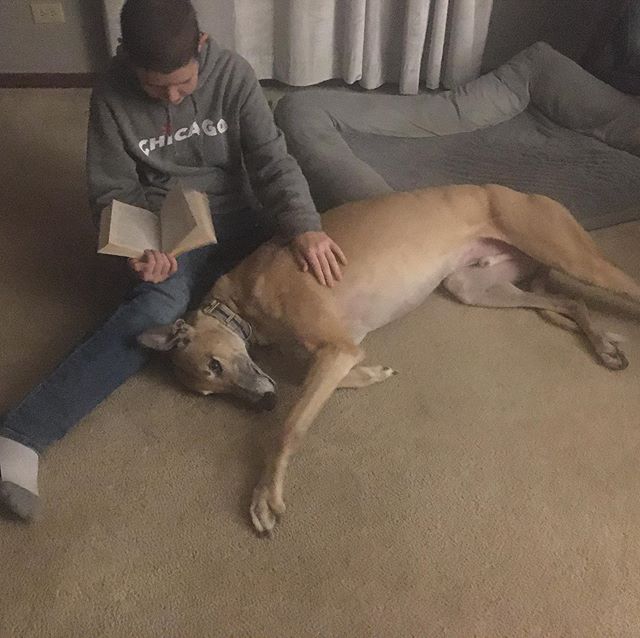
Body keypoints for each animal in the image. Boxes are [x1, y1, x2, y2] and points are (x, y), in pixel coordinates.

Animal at [140, 184, 640, 536]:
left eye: (215, 365)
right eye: (210, 390)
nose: (263, 403)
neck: (241, 301)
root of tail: (518, 190)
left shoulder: (337, 347)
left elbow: (291, 426)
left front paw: (266, 497)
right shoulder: (331, 352)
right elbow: (312, 378)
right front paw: (372, 374)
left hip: (569, 254)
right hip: (475, 285)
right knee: (573, 303)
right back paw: (605, 345)